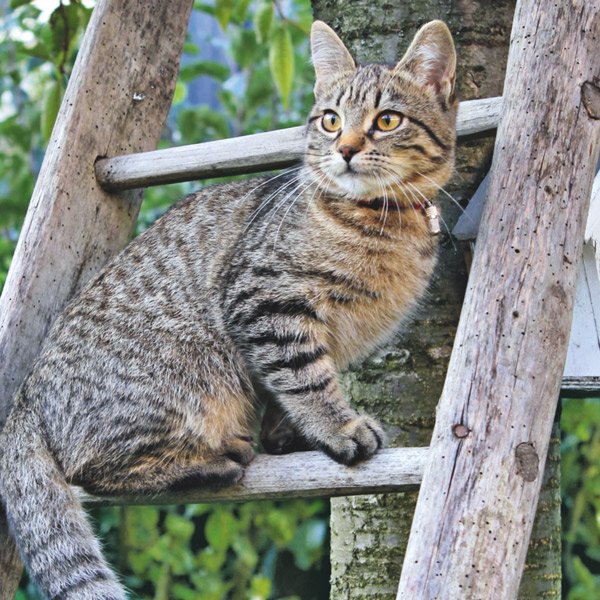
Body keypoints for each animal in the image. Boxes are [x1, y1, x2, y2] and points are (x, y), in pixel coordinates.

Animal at [0, 18, 454, 600]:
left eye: (387, 120)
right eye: (331, 120)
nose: (347, 149)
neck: (384, 223)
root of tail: (26, 396)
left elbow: (293, 384)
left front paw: (288, 433)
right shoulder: (265, 301)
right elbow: (305, 376)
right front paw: (337, 427)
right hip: (188, 375)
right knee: (90, 470)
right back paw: (214, 463)